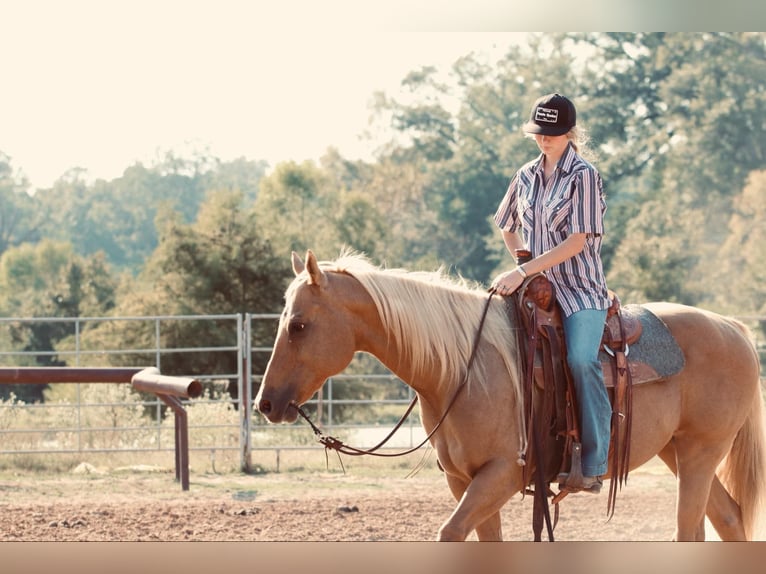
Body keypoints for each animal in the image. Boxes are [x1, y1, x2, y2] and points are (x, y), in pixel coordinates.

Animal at [256, 250, 766, 544]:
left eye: (298, 324)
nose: (265, 403)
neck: (463, 369)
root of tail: (732, 327)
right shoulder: (462, 479)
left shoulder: (503, 472)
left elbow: (450, 532)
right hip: (677, 452)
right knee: (728, 520)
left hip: (701, 452)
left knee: (691, 529)